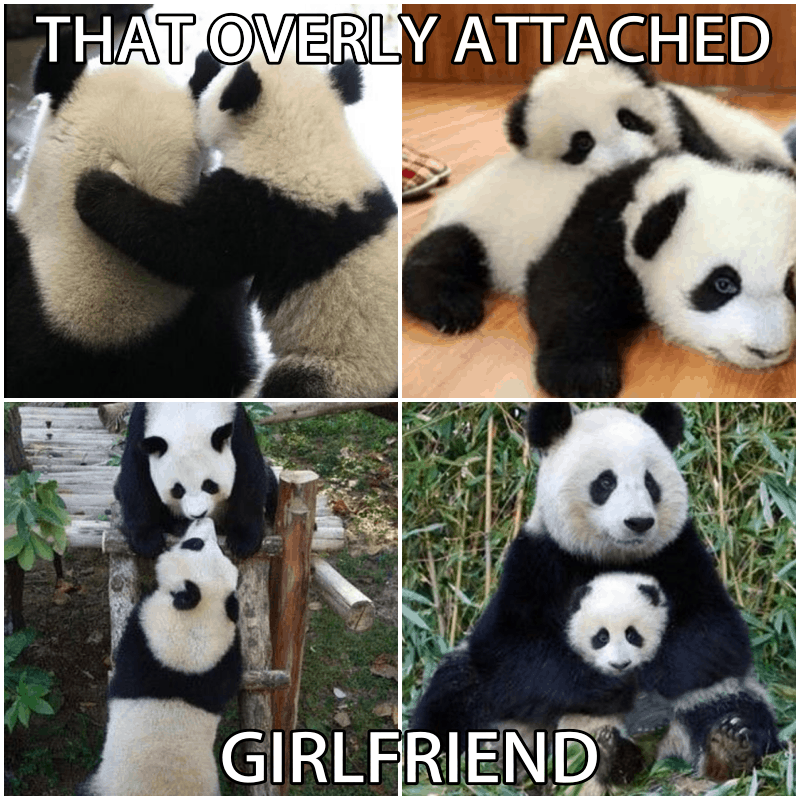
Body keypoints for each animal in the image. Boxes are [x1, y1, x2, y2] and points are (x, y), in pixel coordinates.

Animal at [74, 52, 398, 398]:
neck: (303, 133)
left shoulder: (261, 210)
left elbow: (191, 250)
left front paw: (95, 190)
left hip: (344, 371)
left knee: (294, 381)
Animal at [115, 402, 278, 558]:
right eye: (177, 490)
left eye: (210, 485)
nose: (198, 515)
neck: (188, 410)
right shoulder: (141, 422)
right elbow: (136, 476)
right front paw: (147, 542)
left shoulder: (237, 424)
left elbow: (248, 473)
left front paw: (243, 542)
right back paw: (179, 526)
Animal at [403, 58, 681, 334]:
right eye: (582, 143)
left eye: (630, 120)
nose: (630, 160)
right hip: (474, 225)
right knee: (444, 252)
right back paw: (454, 307)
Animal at [413, 403, 782, 782]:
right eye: (606, 482)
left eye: (650, 482)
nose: (639, 522)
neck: (611, 556)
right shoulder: (537, 561)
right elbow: (513, 650)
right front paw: (608, 684)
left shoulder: (680, 555)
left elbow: (715, 635)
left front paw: (649, 671)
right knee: (456, 695)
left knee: (731, 702)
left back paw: (729, 744)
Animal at [526, 152, 796, 397]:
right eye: (723, 284)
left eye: (790, 284)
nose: (768, 351)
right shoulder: (602, 228)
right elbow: (565, 287)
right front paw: (582, 376)